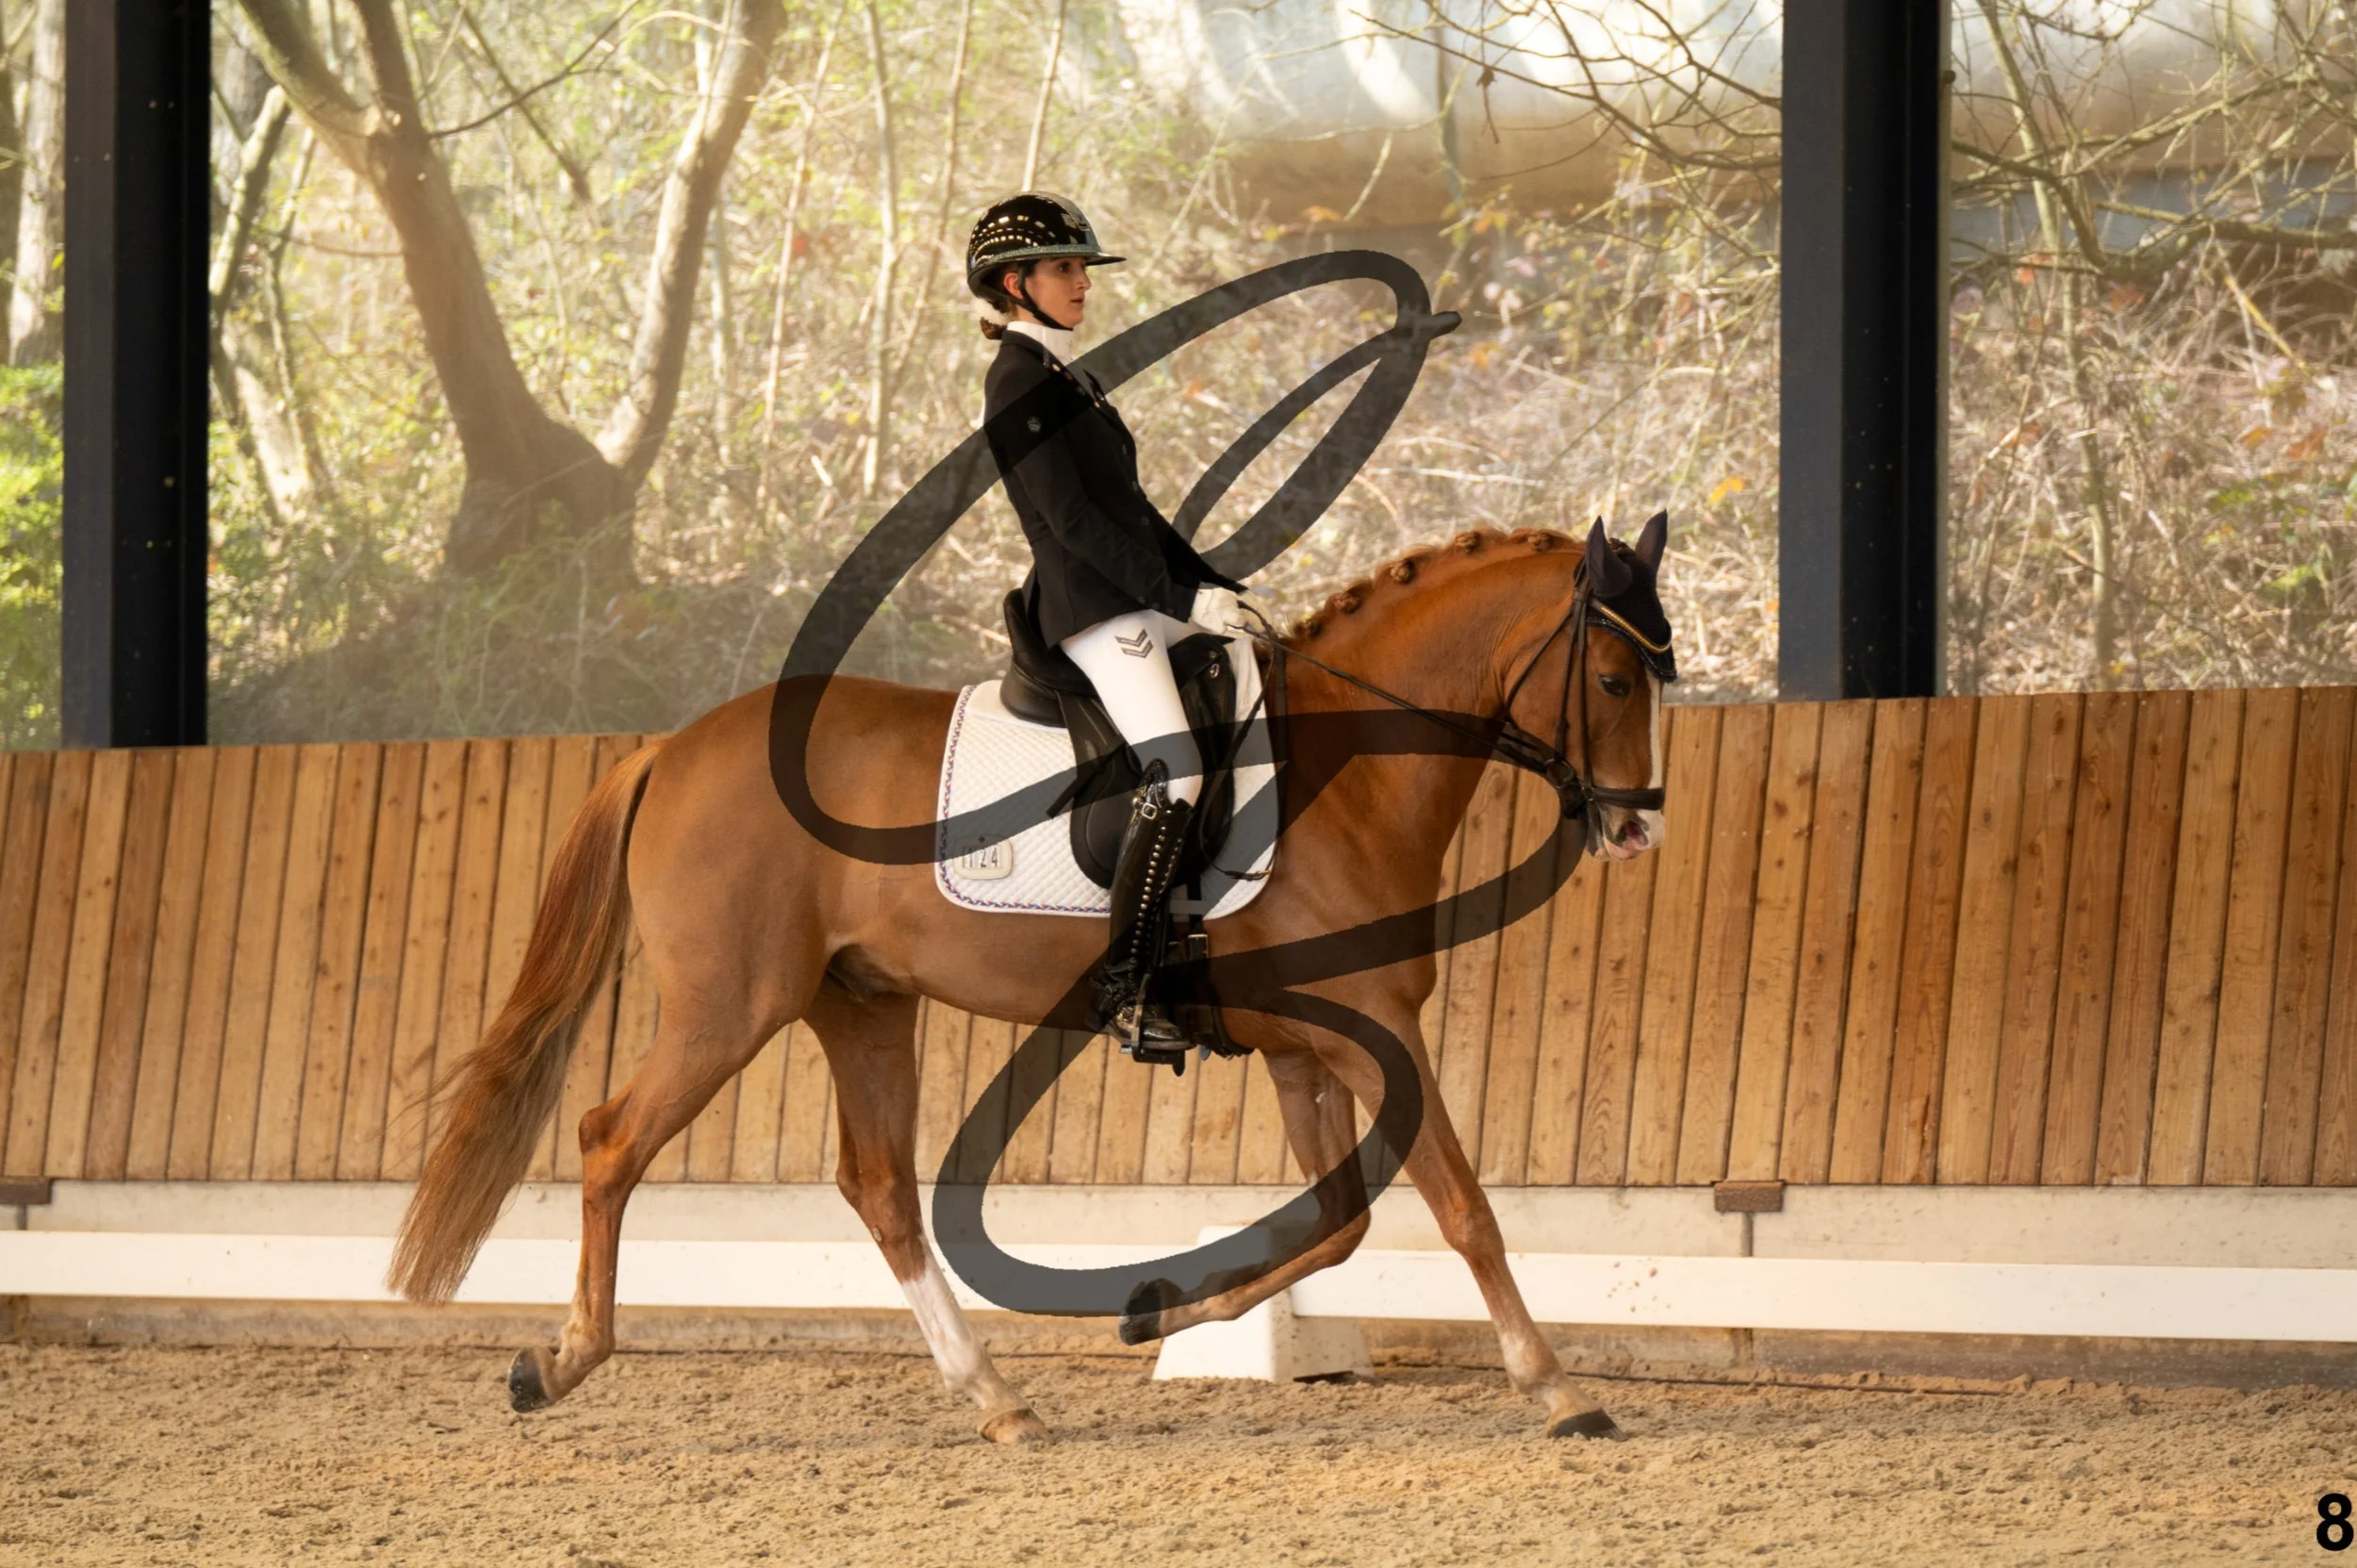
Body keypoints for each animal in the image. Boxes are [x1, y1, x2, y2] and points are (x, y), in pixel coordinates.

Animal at [388, 518, 1672, 1446]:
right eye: (1615, 679)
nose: (1636, 831)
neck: (1345, 766)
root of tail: (671, 746)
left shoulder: (1304, 1047)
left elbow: (1339, 1221)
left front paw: (1162, 1310)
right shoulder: (1367, 1032)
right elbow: (1463, 1210)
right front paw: (1559, 1389)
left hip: (861, 1005)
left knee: (880, 1188)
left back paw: (997, 1398)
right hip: (728, 1011)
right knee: (611, 1141)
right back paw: (558, 1362)